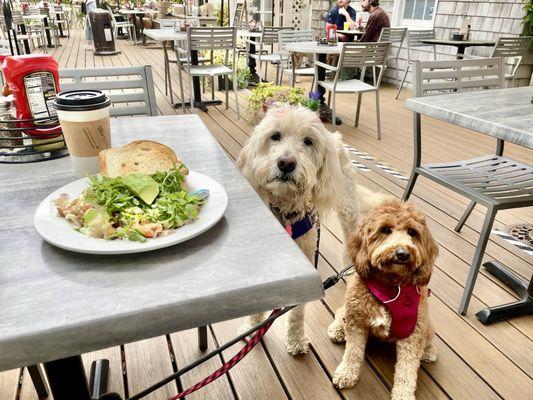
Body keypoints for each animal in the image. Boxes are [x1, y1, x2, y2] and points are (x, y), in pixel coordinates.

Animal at [237, 104, 382, 354]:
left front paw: (295, 340)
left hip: (347, 207)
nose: (286, 163)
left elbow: (296, 312)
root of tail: (334, 137)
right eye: (275, 136)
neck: (285, 211)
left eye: (308, 141)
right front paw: (251, 327)